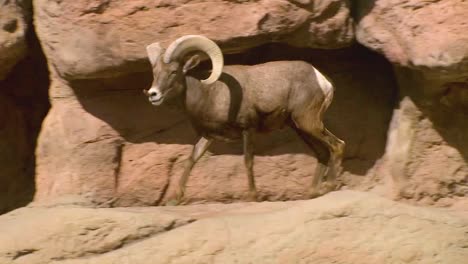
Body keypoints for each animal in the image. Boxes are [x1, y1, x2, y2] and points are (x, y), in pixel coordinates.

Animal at [144, 35, 346, 204]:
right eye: (155, 72)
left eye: (174, 71)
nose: (153, 94)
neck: (210, 93)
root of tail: (323, 81)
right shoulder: (208, 137)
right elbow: (191, 159)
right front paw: (175, 199)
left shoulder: (248, 129)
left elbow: (248, 160)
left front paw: (253, 196)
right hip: (301, 128)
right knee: (322, 153)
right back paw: (312, 193)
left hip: (308, 122)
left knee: (337, 145)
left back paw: (328, 187)